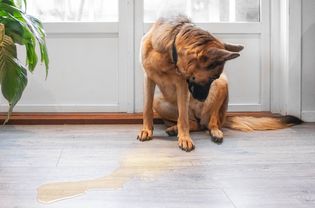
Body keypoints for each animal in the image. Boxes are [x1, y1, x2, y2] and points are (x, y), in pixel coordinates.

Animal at [136, 15, 304, 151]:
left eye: (213, 78)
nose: (200, 99)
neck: (169, 50)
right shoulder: (148, 78)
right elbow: (147, 108)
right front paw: (147, 130)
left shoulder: (182, 85)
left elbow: (182, 118)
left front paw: (185, 138)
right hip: (159, 102)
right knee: (194, 123)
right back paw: (174, 129)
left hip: (222, 87)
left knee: (208, 122)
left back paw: (214, 132)